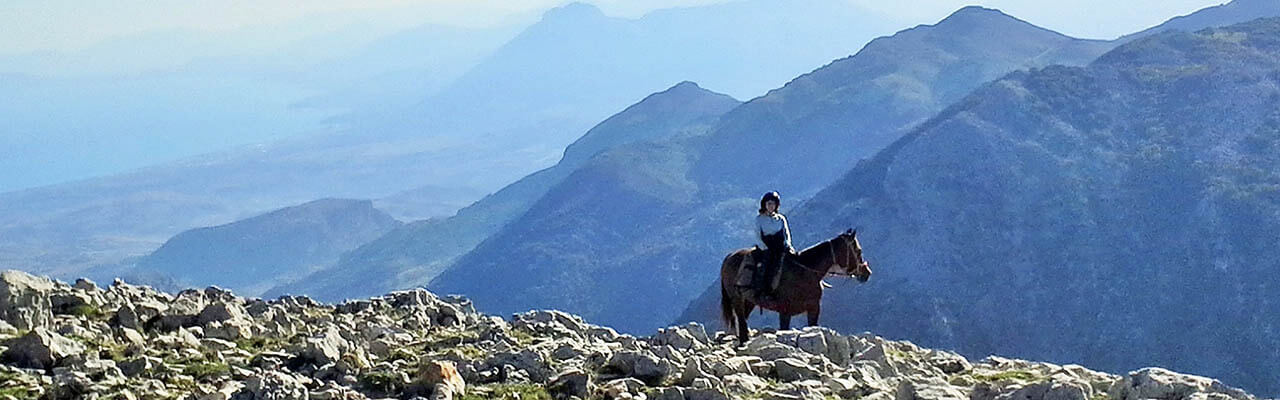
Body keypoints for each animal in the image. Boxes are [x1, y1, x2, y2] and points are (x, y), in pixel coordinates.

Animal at [721, 229, 870, 346]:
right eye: (858, 250)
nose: (867, 273)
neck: (805, 272)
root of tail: (729, 257)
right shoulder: (785, 311)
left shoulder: (814, 308)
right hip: (736, 298)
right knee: (740, 319)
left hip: (749, 301)